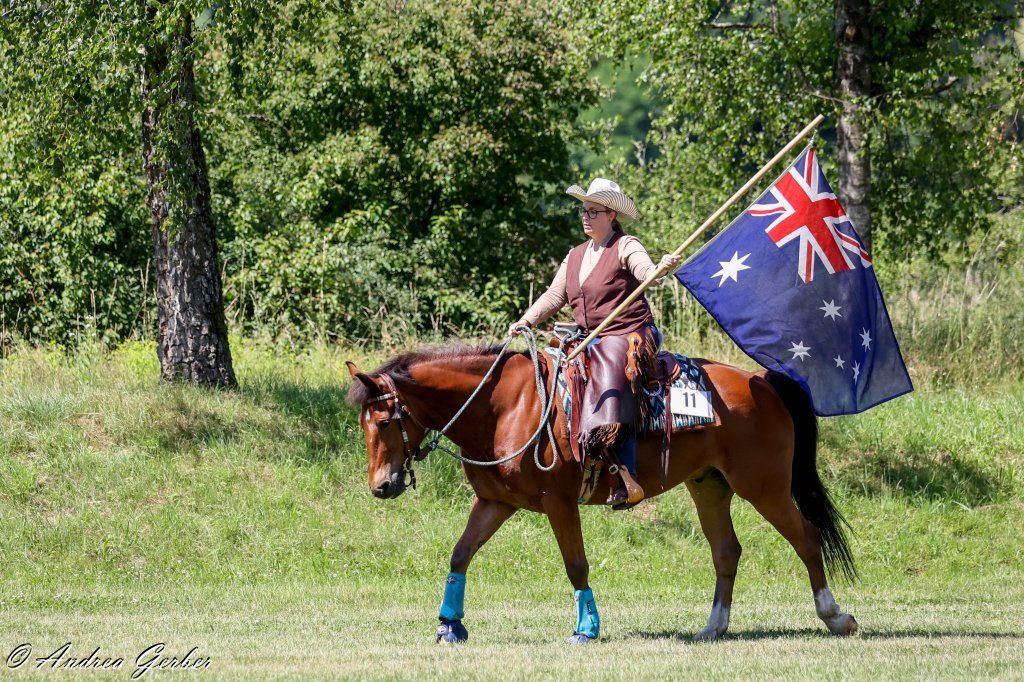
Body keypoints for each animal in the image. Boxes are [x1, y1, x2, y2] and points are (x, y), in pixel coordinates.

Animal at [346, 340, 859, 644]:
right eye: (364, 423)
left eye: (386, 420)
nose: (381, 486)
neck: (505, 407)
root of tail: (762, 381)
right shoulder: (495, 502)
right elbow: (460, 553)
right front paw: (449, 625)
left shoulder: (558, 503)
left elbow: (576, 564)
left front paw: (587, 628)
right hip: (709, 487)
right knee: (727, 551)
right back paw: (713, 627)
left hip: (765, 486)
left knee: (807, 538)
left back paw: (836, 617)